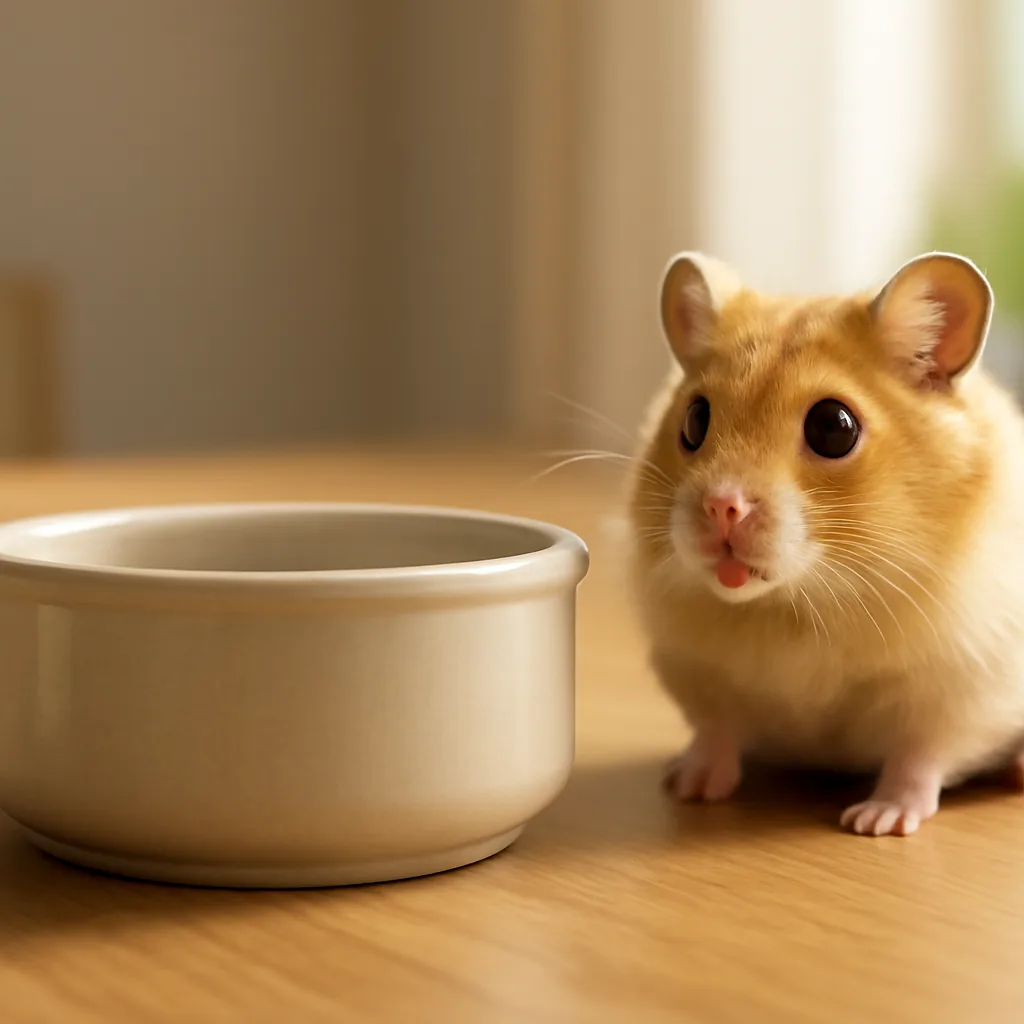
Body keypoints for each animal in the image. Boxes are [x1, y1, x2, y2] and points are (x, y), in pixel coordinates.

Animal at [627, 250, 1024, 836]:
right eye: (695, 419)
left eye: (833, 428)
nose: (722, 506)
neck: (804, 598)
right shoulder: (699, 673)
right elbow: (715, 731)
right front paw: (687, 788)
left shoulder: (960, 691)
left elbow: (919, 757)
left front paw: (875, 823)